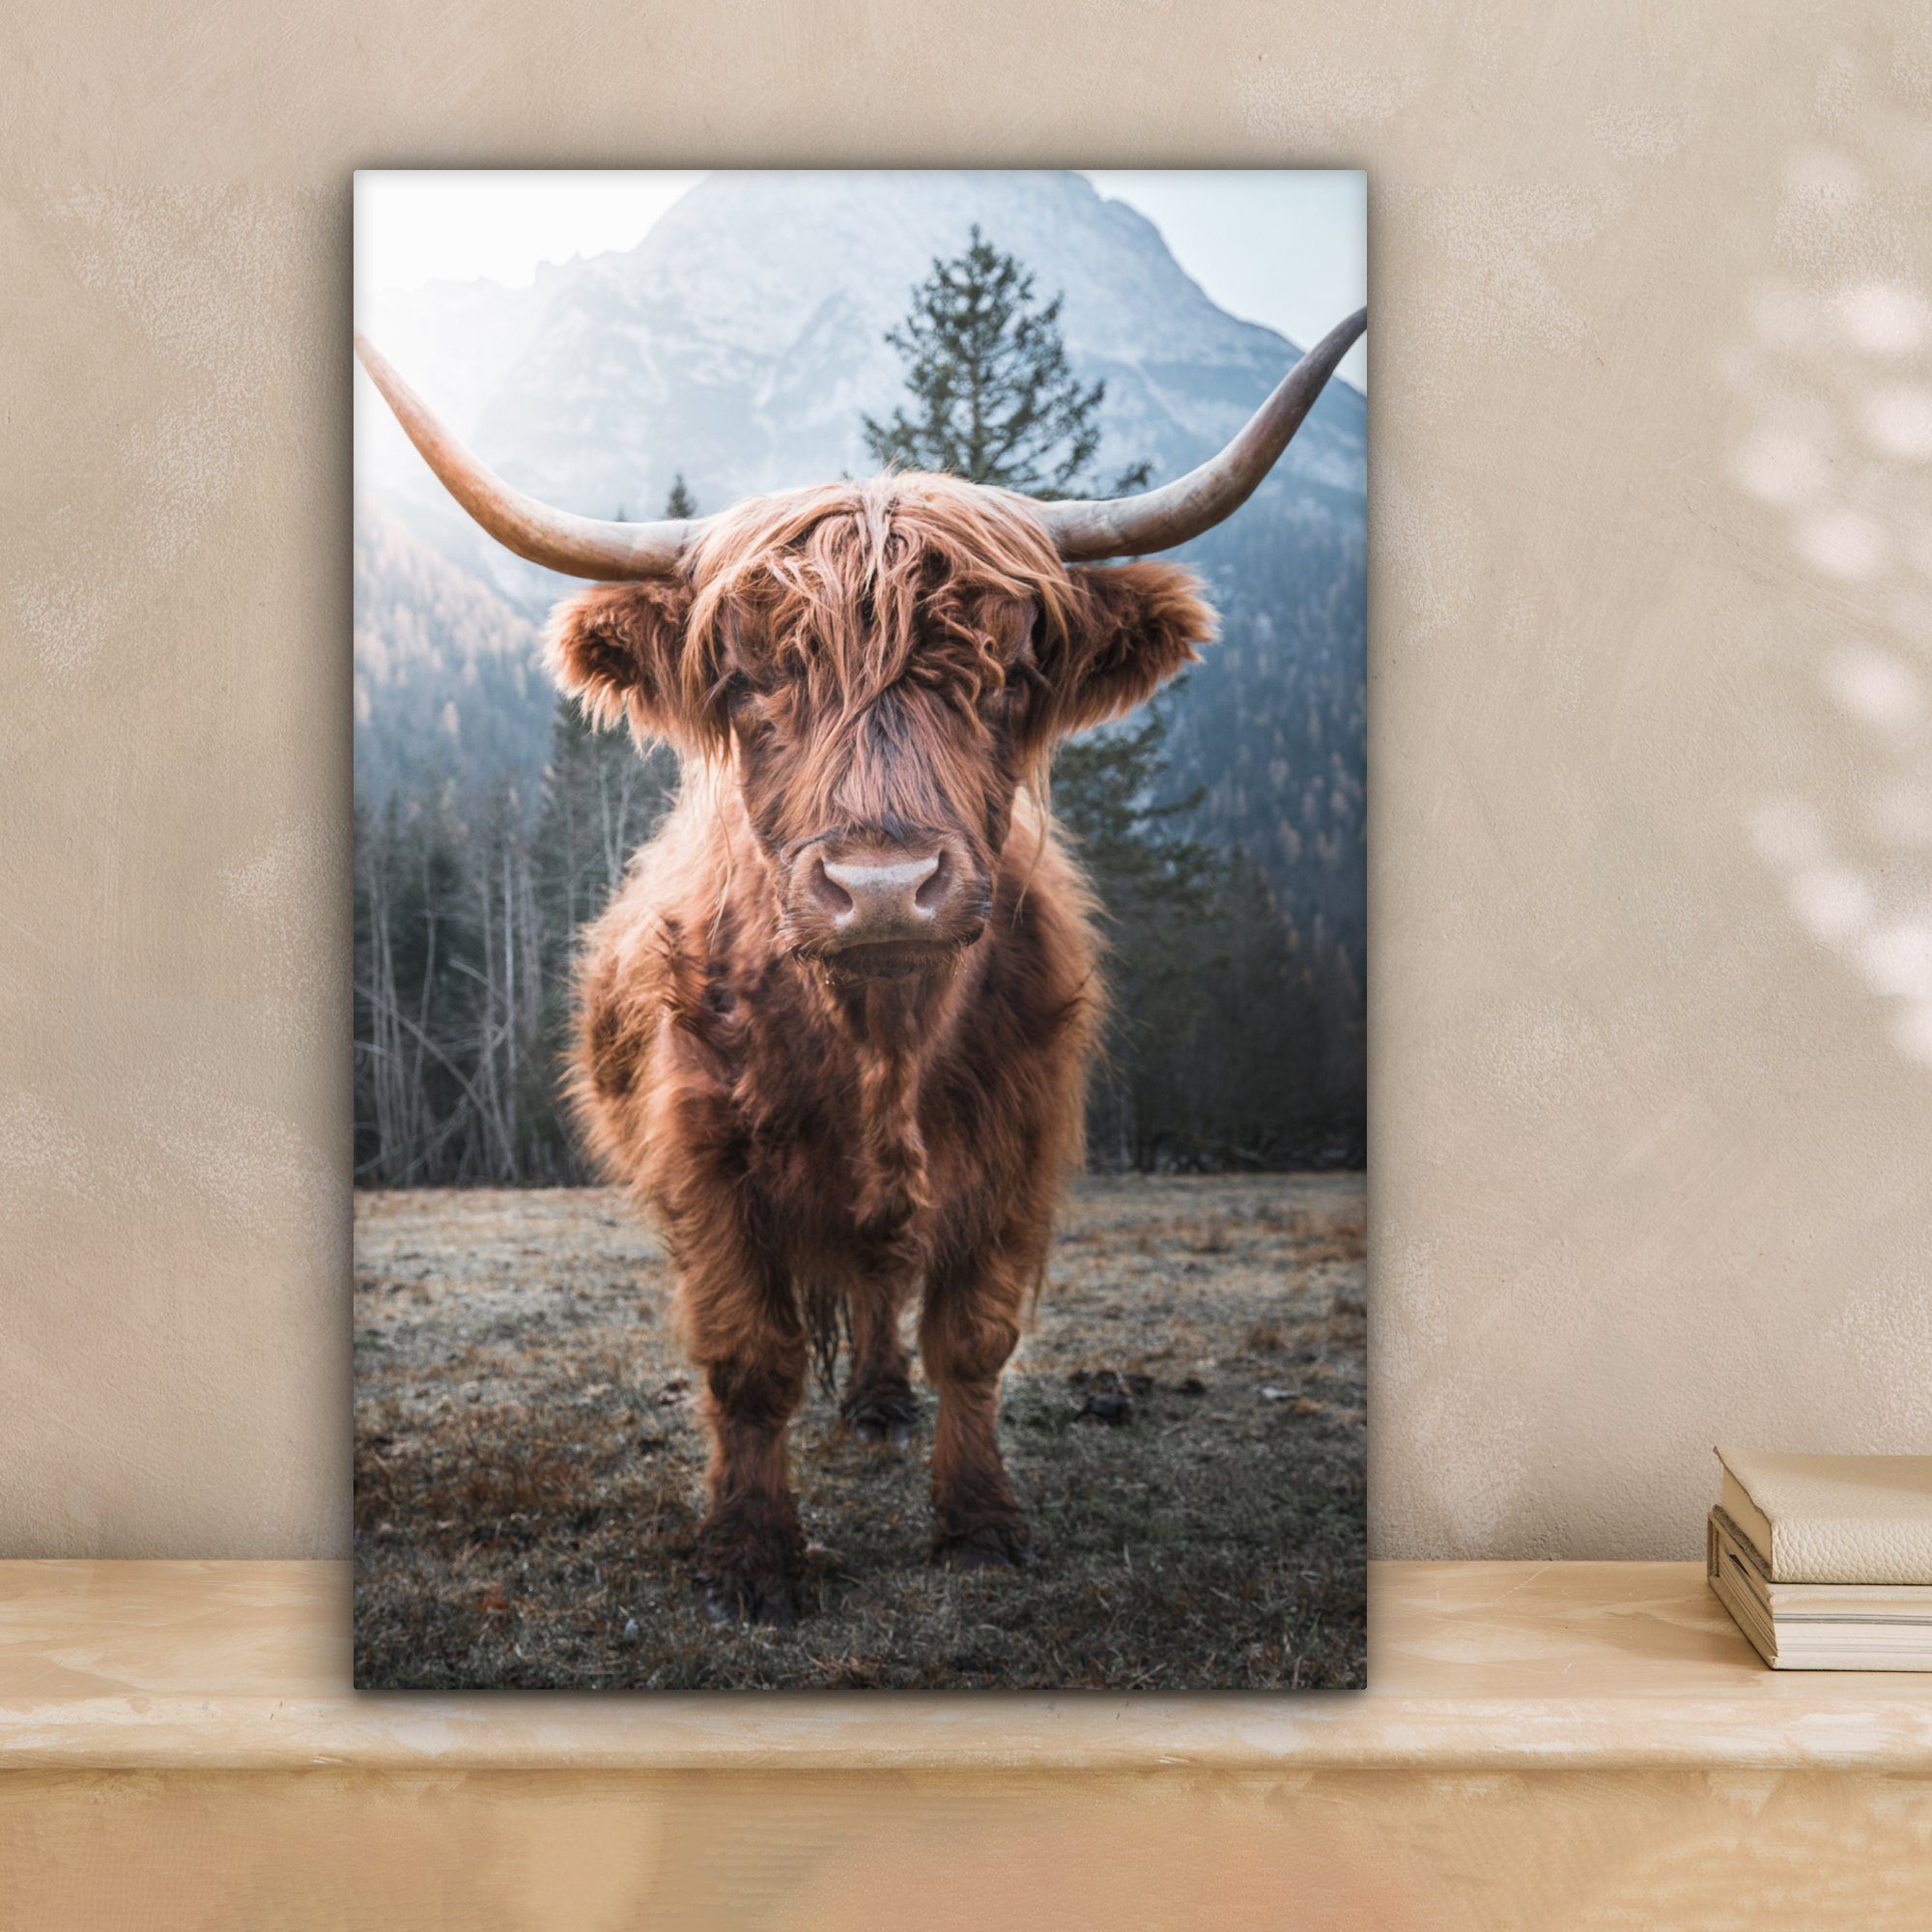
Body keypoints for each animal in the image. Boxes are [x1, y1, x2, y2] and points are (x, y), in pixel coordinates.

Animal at [355, 307, 1365, 1624]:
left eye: (1005, 675)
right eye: (748, 678)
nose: (882, 885)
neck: (880, 1038)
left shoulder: (1016, 1147)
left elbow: (972, 1340)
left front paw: (978, 1522)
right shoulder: (705, 1159)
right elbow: (749, 1358)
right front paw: (748, 1553)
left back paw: (885, 1404)